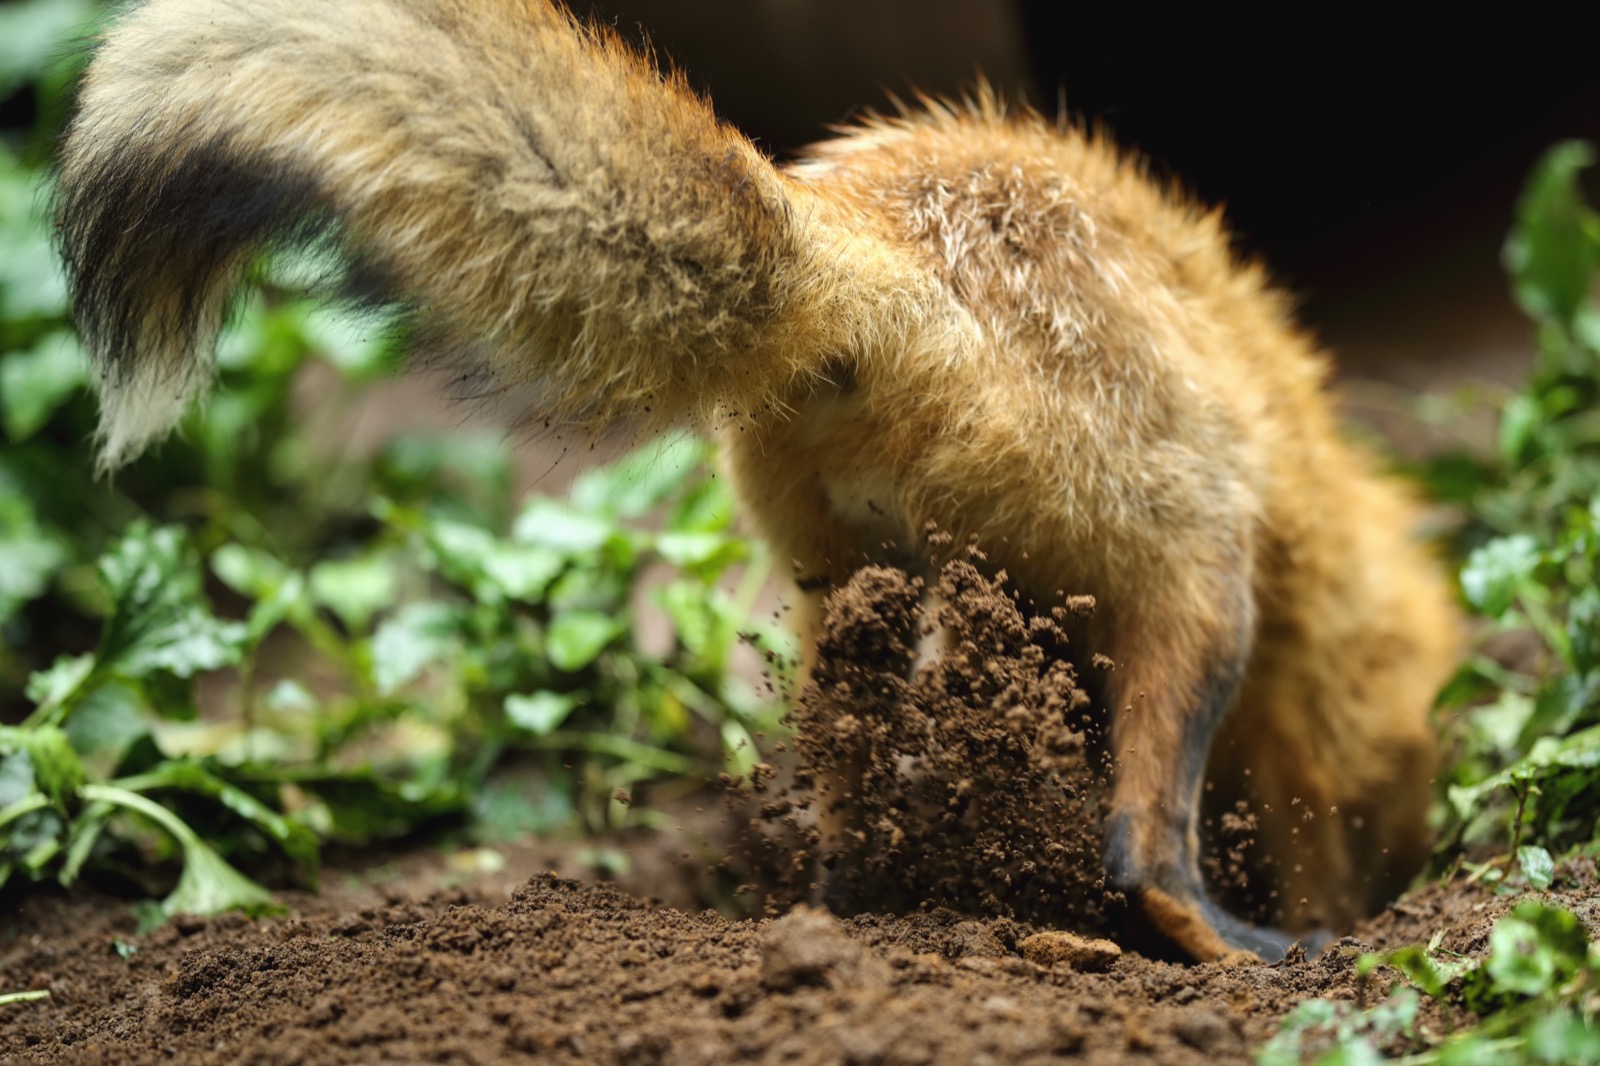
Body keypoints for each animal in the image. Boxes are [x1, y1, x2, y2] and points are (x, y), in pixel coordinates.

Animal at [54, 0, 1461, 962]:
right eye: (1389, 795)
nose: (1386, 873)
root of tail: (870, 234)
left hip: (848, 601)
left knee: (848, 810)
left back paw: (842, 917)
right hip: (1190, 576)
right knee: (1141, 848)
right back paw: (1233, 945)